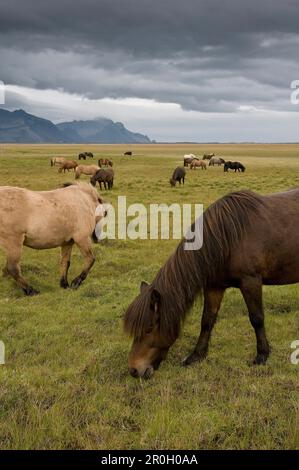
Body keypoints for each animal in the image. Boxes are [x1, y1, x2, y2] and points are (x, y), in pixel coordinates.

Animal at [125, 186, 299, 378]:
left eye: (149, 328)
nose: (134, 370)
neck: (227, 239)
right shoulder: (214, 286)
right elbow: (207, 320)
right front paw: (196, 356)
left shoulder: (250, 281)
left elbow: (257, 318)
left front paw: (262, 355)